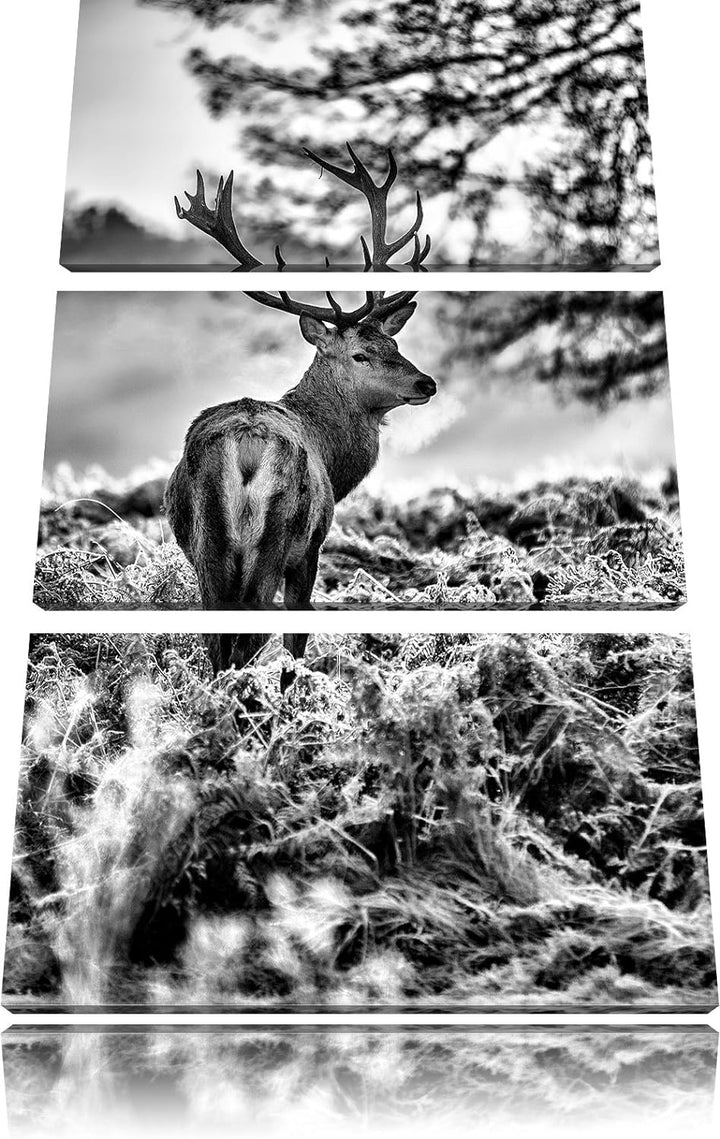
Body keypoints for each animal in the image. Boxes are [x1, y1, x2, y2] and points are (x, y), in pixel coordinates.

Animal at [166, 146, 436, 684]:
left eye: (394, 345)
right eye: (360, 355)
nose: (427, 383)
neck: (332, 454)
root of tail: (246, 447)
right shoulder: (311, 547)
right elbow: (298, 631)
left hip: (208, 544)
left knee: (217, 639)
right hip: (277, 535)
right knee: (249, 637)